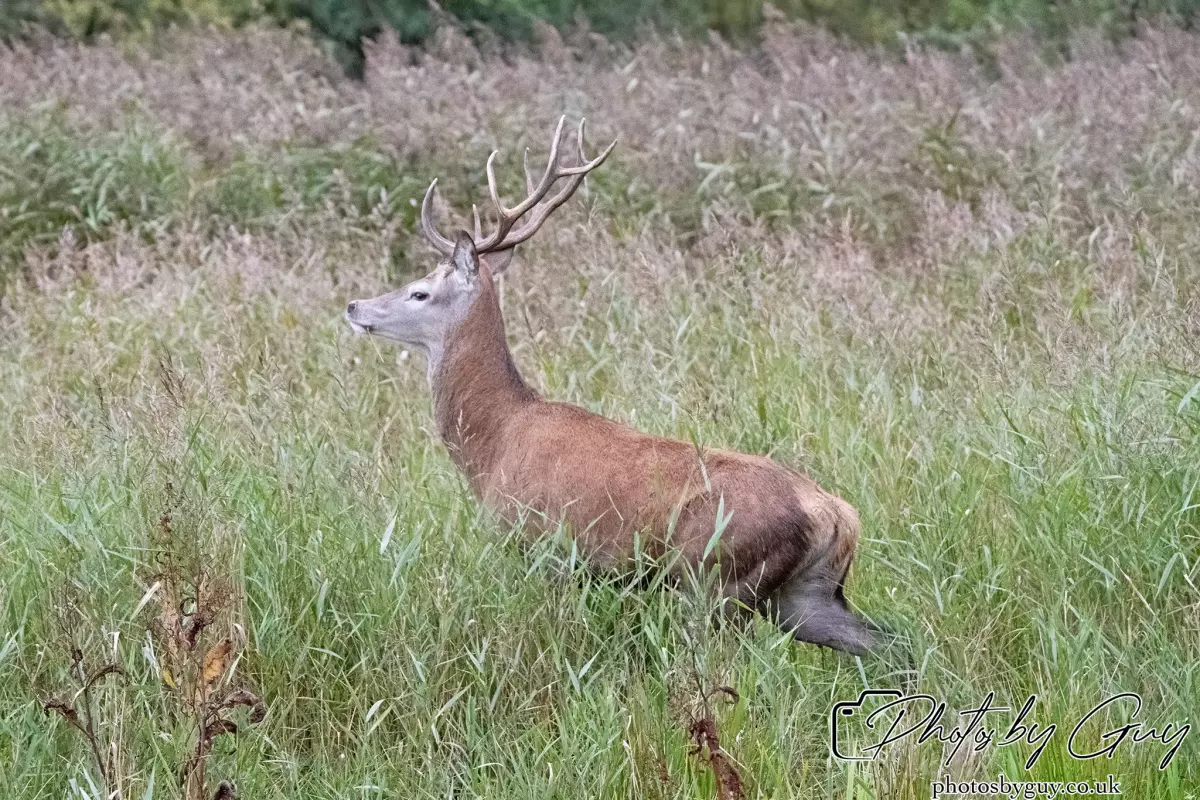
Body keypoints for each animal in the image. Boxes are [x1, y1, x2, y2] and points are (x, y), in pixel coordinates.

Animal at [345, 118, 879, 655]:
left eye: (420, 292)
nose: (354, 305)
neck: (493, 444)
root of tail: (836, 516)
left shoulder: (542, 546)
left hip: (717, 579)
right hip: (805, 596)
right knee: (887, 645)